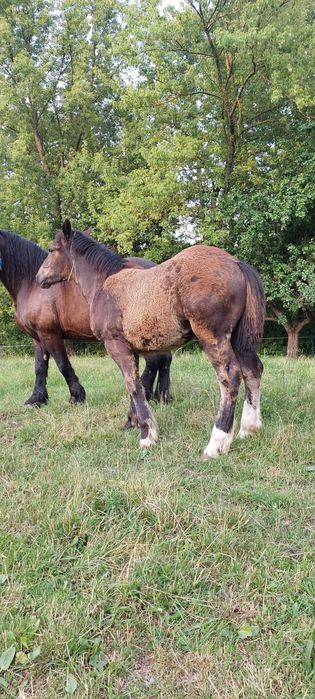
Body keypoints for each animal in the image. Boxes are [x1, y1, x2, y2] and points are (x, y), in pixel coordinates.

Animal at [0, 228, 172, 410]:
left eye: (52, 250)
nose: (40, 277)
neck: (31, 286)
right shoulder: (37, 337)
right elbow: (40, 367)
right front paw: (36, 399)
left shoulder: (50, 334)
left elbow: (62, 364)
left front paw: (77, 396)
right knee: (165, 359)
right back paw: (161, 396)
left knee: (155, 361)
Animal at [35, 219, 266, 460]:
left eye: (51, 250)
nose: (39, 277)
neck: (104, 284)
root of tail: (236, 262)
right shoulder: (132, 349)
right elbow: (134, 384)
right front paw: (132, 422)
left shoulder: (115, 345)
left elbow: (134, 385)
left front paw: (147, 434)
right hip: (239, 338)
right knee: (252, 370)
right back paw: (248, 429)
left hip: (213, 337)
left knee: (230, 377)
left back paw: (216, 442)